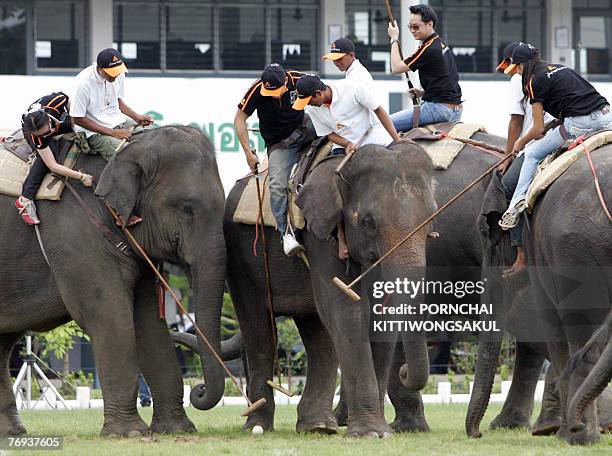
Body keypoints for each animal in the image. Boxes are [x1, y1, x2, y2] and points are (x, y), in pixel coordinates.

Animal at [0, 125, 227, 438]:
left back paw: (12, 433)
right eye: (186, 207)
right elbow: (110, 315)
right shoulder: (76, 237)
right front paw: (130, 433)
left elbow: (148, 323)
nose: (200, 391)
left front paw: (176, 430)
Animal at [468, 147, 612, 446]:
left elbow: (549, 322)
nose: (477, 433)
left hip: (573, 248)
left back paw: (581, 435)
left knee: (579, 327)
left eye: (484, 232)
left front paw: (566, 434)